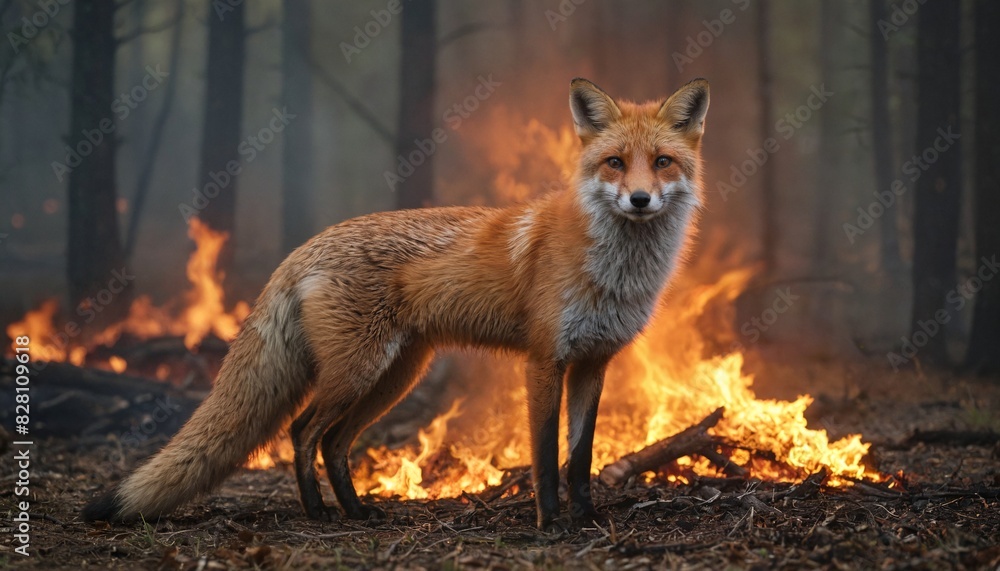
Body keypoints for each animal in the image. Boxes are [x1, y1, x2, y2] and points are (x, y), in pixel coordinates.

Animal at [82, 77, 710, 531]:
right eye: (614, 163)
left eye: (661, 162)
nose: (639, 199)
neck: (614, 272)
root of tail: (304, 247)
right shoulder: (543, 361)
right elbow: (546, 454)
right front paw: (550, 525)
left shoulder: (592, 363)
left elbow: (579, 458)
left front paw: (586, 520)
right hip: (358, 372)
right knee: (302, 431)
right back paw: (318, 513)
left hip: (393, 377)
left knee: (333, 442)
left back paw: (357, 511)